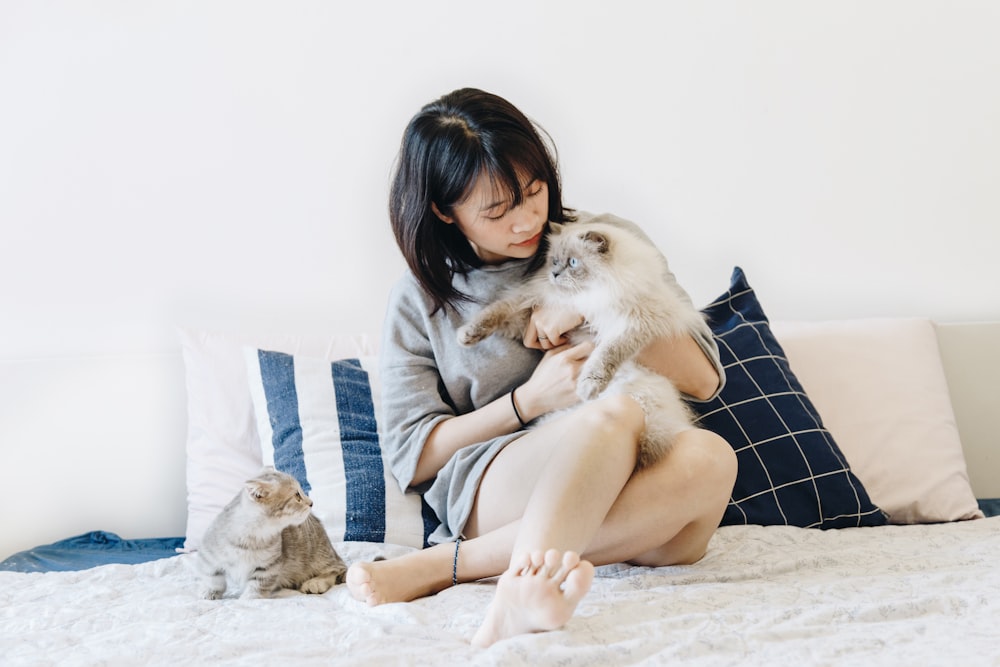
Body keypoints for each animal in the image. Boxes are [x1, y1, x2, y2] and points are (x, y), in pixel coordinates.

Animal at [197, 470, 350, 600]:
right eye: (297, 495)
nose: (311, 503)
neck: (252, 536)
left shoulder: (269, 566)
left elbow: (257, 587)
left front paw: (248, 598)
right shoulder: (208, 555)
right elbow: (213, 578)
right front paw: (210, 592)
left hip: (318, 554)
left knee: (337, 568)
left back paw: (315, 582)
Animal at [458, 222, 708, 468]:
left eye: (573, 262)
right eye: (554, 261)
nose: (554, 274)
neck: (590, 293)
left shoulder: (635, 324)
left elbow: (607, 354)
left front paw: (588, 385)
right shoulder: (533, 312)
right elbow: (498, 311)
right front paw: (466, 336)